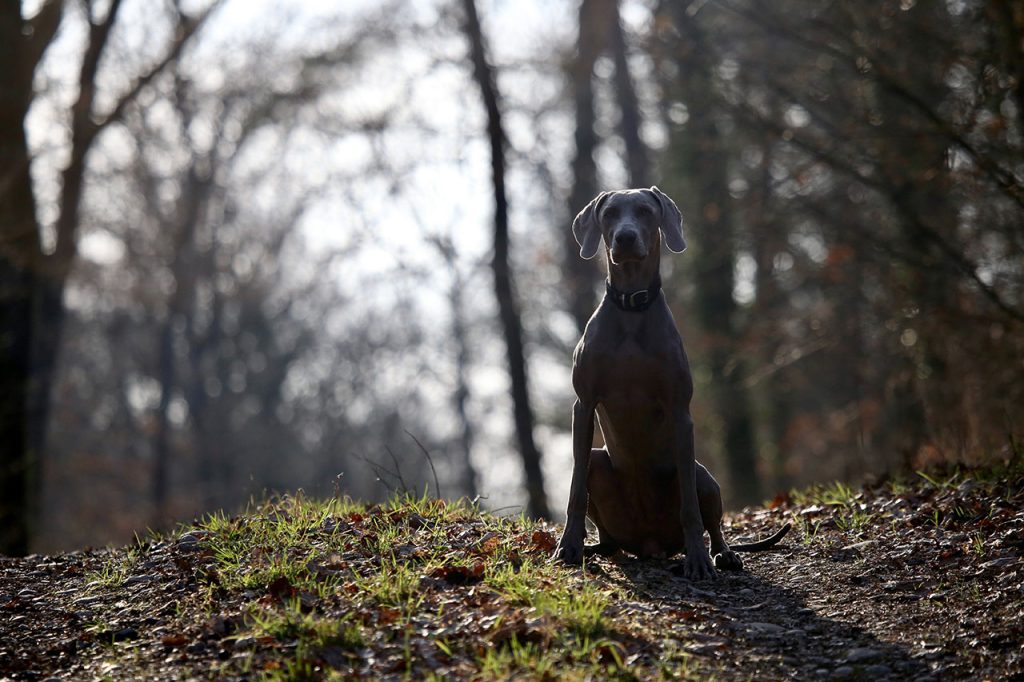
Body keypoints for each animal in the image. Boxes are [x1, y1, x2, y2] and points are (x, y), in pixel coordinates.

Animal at [557, 187, 786, 577]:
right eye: (610, 213)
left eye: (645, 211)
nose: (625, 237)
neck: (631, 308)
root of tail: (650, 545)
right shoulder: (583, 405)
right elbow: (575, 488)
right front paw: (568, 545)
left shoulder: (680, 409)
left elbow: (690, 509)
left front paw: (698, 560)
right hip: (599, 463)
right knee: (606, 530)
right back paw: (594, 548)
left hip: (701, 474)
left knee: (711, 521)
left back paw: (721, 554)